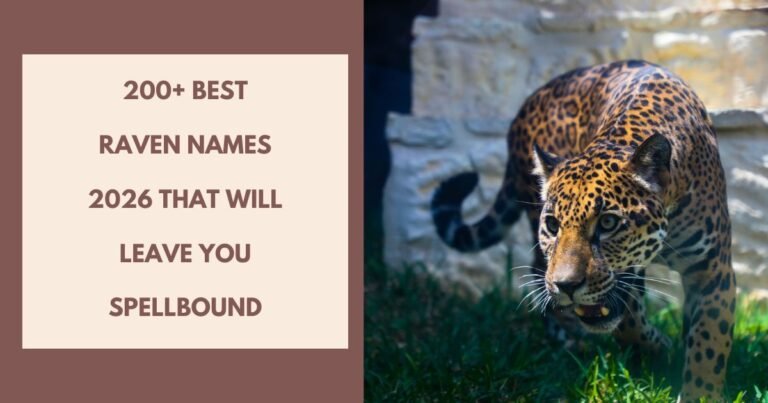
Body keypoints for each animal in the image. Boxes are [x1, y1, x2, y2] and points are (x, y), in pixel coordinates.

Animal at [431, 60, 735, 401]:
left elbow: (709, 342)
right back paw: (570, 339)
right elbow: (627, 321)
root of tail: (523, 109)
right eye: (553, 225)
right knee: (539, 272)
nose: (567, 286)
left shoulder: (712, 267)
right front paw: (656, 349)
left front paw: (699, 391)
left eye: (608, 223)